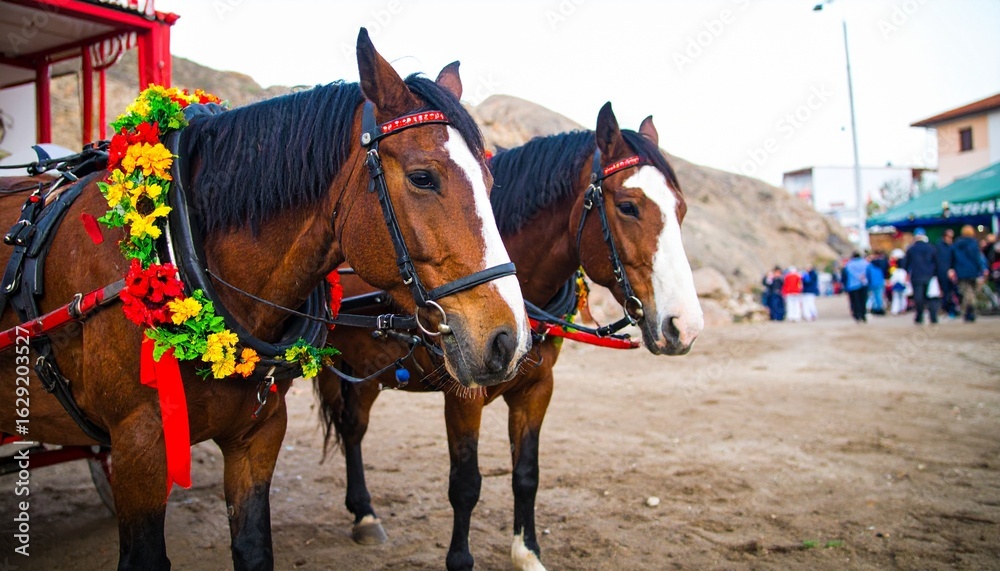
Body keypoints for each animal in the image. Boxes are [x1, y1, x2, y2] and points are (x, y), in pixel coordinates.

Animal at [0, 29, 530, 570]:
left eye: (491, 182)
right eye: (424, 177)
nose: (508, 339)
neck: (178, 244)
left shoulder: (258, 436)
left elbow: (254, 548)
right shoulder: (139, 448)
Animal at [315, 102, 704, 570]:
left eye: (681, 210)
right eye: (628, 207)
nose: (685, 324)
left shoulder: (537, 389)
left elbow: (526, 475)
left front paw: (527, 552)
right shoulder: (464, 396)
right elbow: (465, 484)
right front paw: (461, 559)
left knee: (353, 428)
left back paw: (364, 511)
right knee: (351, 427)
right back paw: (365, 513)